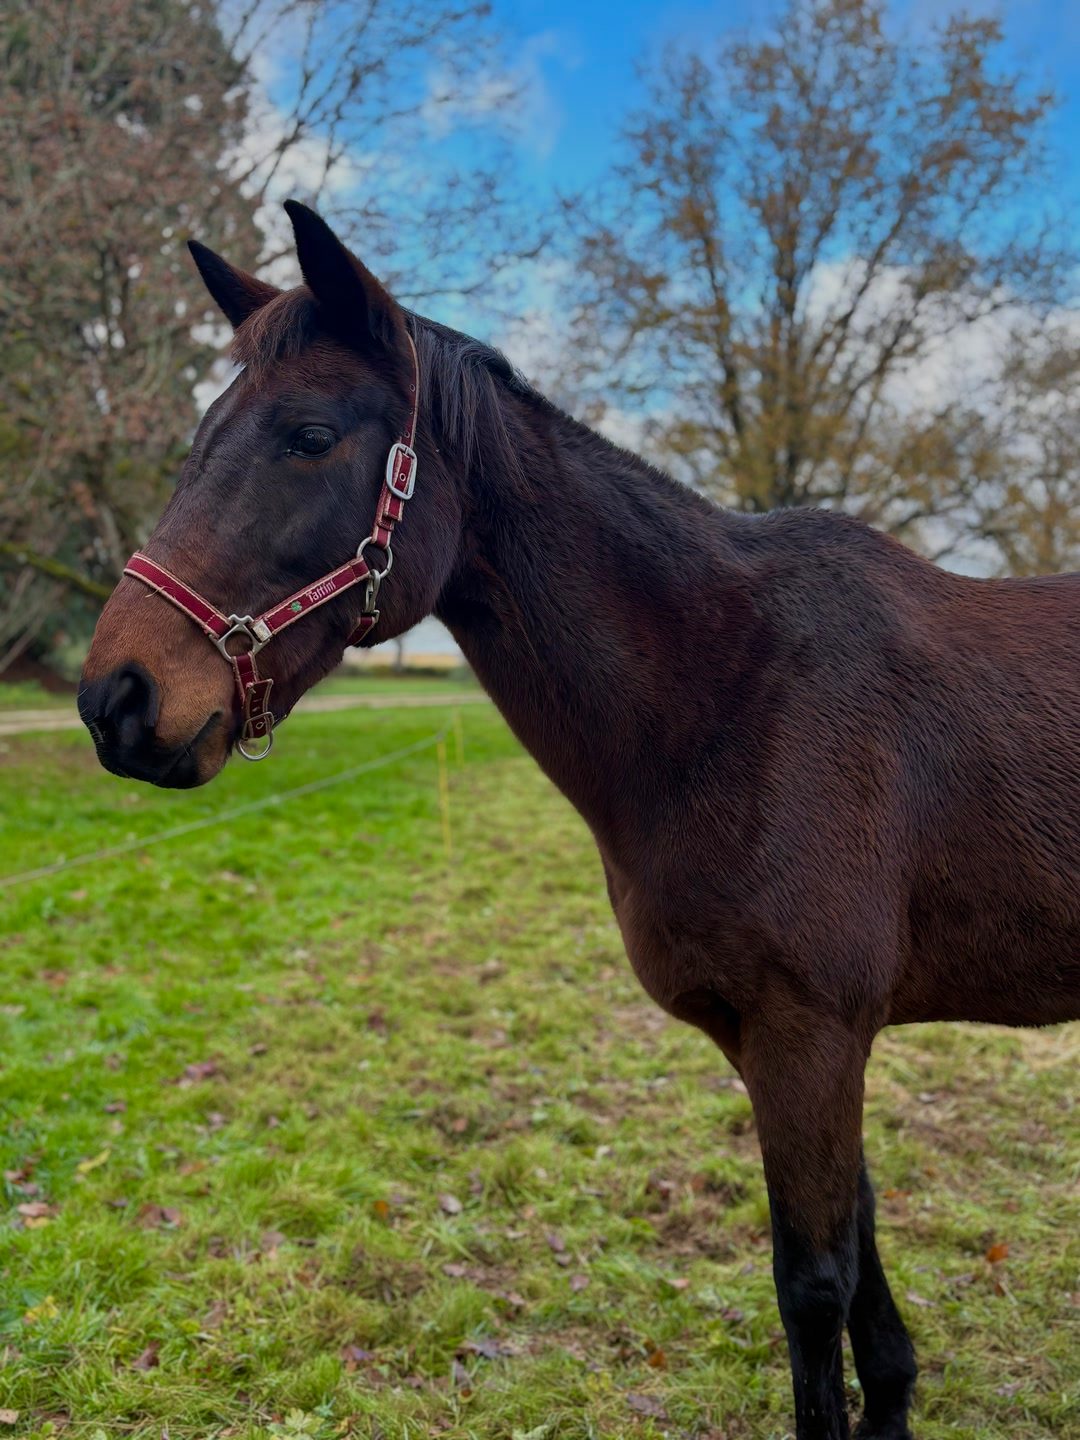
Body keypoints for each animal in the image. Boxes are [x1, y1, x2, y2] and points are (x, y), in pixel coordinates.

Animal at [78, 202, 1080, 1440]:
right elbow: (863, 1257)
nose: (117, 698)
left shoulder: (808, 1035)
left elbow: (814, 1286)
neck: (733, 691)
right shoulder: (808, 1043)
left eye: (309, 436)